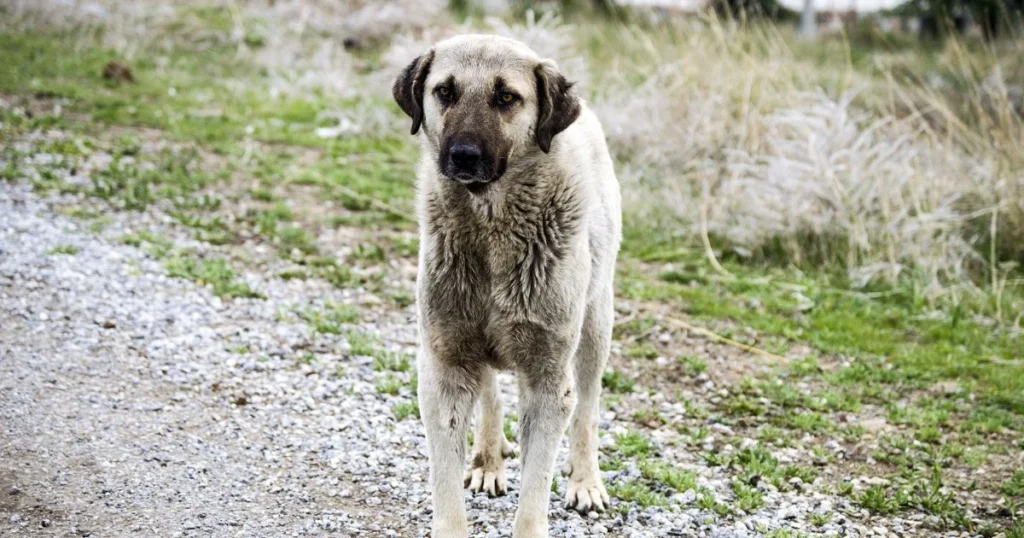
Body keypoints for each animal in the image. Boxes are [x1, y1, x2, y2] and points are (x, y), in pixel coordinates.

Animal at [389, 34, 614, 536]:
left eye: (506, 97)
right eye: (445, 92)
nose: (463, 156)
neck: (492, 227)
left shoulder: (549, 380)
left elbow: (535, 488)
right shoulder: (445, 364)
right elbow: (446, 484)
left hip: (595, 326)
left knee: (588, 408)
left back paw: (585, 481)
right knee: (489, 393)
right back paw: (488, 459)